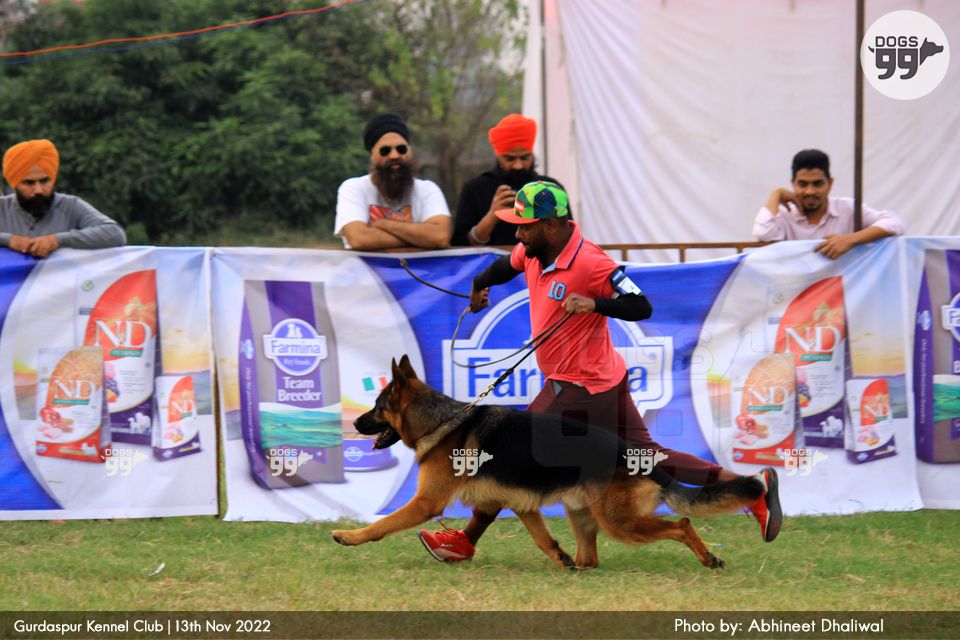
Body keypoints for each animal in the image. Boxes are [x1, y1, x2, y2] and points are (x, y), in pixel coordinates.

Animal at [331, 356, 765, 569]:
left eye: (377, 407)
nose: (354, 423)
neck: (442, 420)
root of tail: (641, 457)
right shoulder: (517, 502)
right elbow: (541, 536)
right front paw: (557, 556)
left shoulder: (426, 503)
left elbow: (383, 524)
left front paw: (350, 537)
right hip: (585, 514)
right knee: (591, 558)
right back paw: (578, 564)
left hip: (621, 523)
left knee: (683, 524)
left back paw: (709, 556)